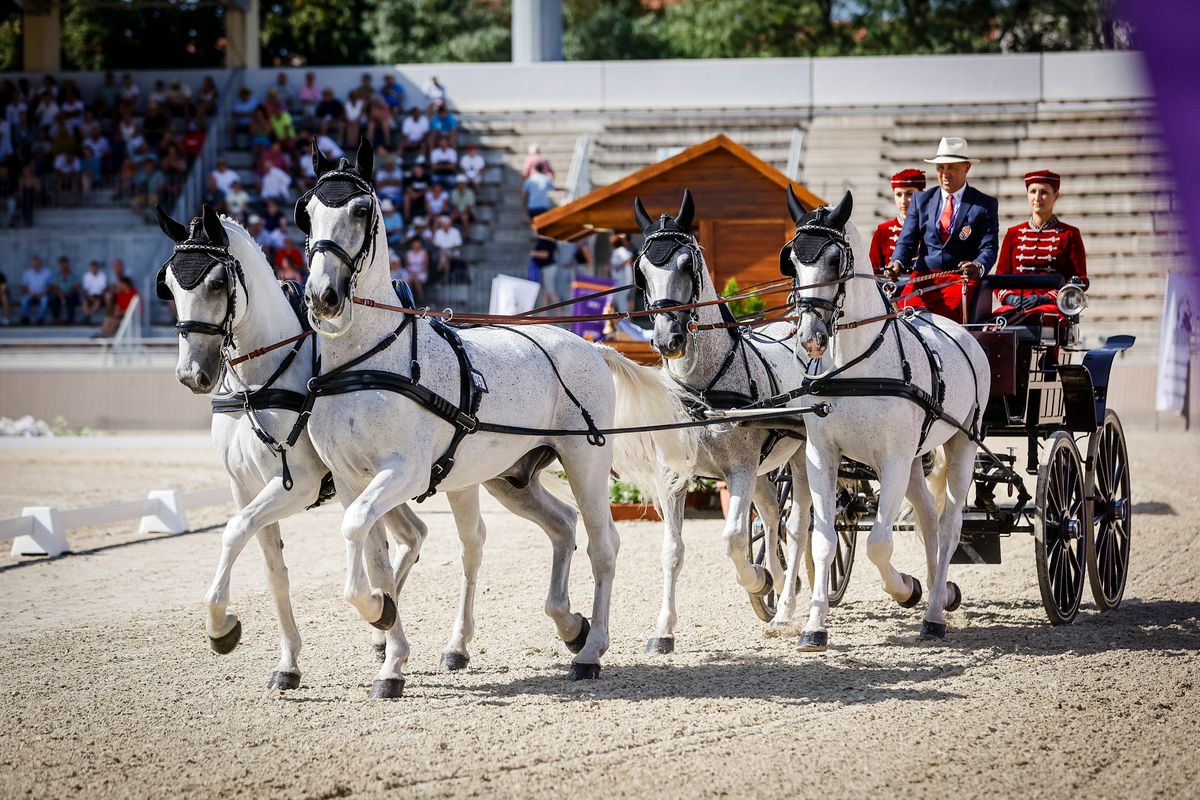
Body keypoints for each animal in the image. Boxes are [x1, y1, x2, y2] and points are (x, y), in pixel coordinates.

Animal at [296, 137, 700, 695]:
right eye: (307, 211)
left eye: (361, 210)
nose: (322, 296)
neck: (368, 364)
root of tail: (589, 347)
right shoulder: (353, 481)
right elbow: (372, 553)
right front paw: (390, 653)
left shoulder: (404, 473)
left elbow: (358, 532)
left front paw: (378, 614)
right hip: (510, 478)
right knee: (561, 525)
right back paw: (570, 625)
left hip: (585, 463)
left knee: (603, 545)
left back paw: (591, 650)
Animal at [624, 190, 811, 652]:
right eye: (641, 271)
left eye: (686, 265)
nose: (667, 340)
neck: (705, 390)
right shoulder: (673, 474)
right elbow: (673, 550)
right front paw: (663, 630)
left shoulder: (739, 470)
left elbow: (733, 539)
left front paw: (757, 580)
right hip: (765, 468)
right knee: (771, 514)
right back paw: (779, 585)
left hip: (801, 456)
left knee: (797, 526)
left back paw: (784, 605)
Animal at [777, 190, 984, 647]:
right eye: (792, 261)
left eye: (834, 259)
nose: (810, 339)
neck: (854, 366)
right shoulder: (821, 455)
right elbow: (823, 540)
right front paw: (814, 628)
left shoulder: (892, 460)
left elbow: (878, 543)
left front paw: (907, 589)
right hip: (914, 460)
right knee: (928, 517)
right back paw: (942, 594)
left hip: (960, 444)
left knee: (949, 526)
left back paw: (933, 614)